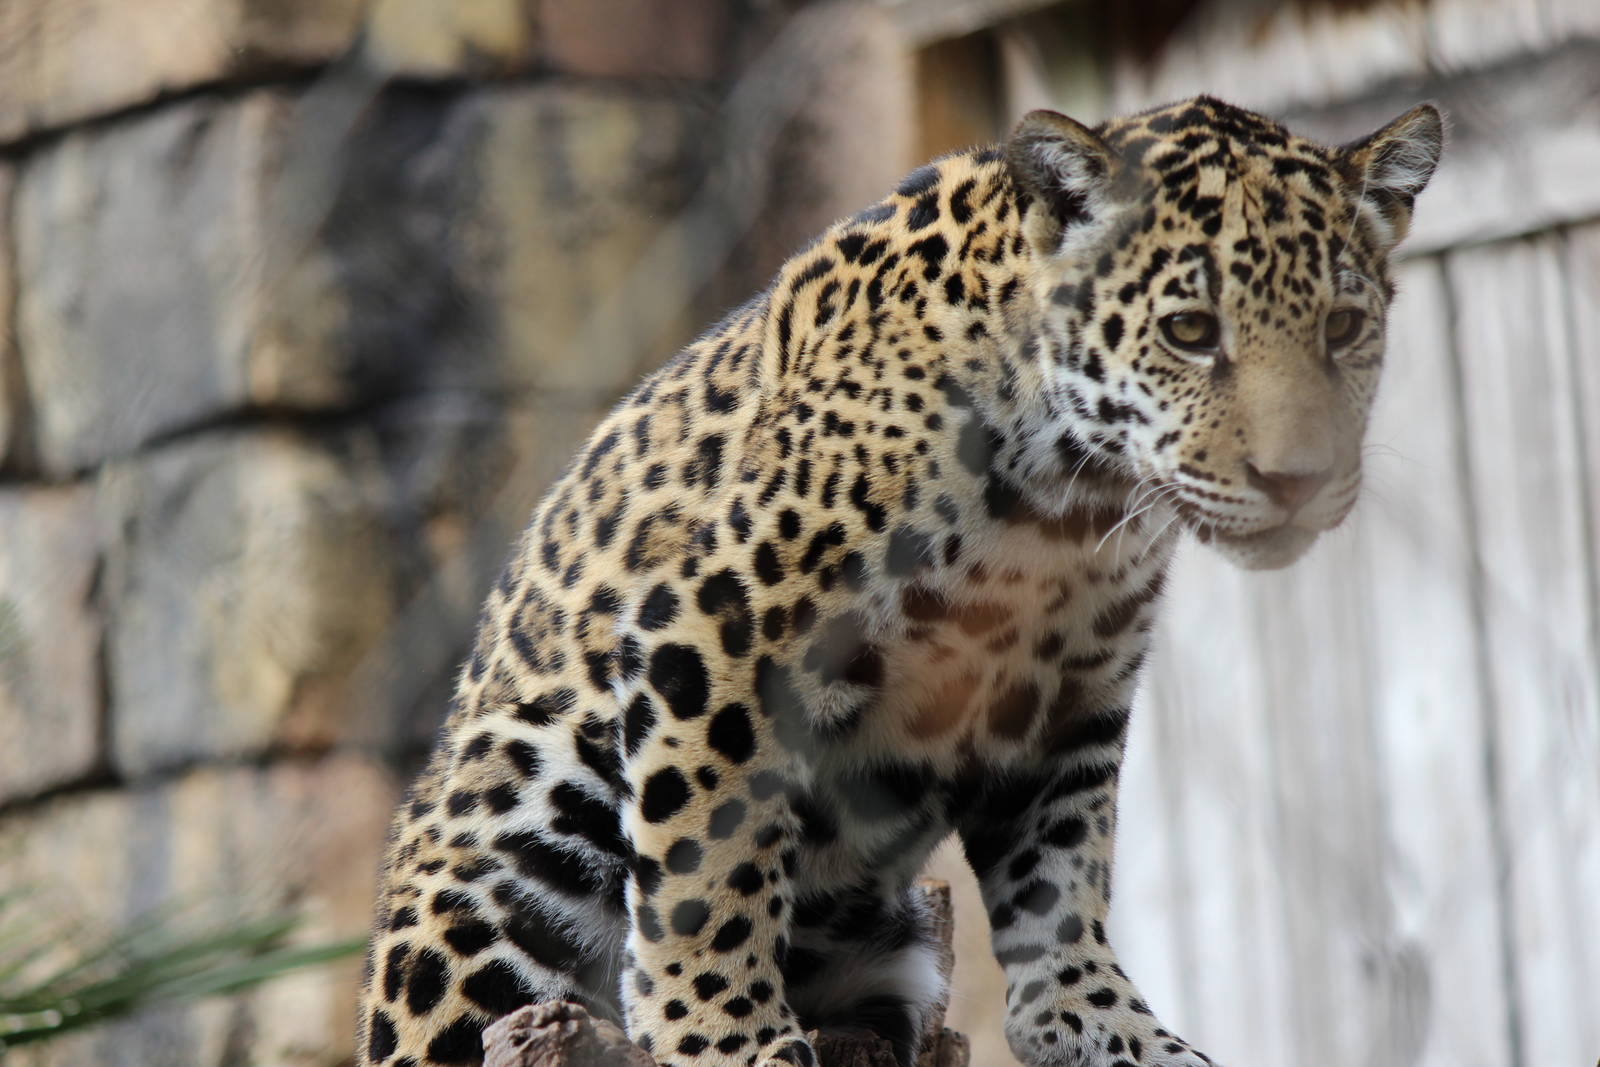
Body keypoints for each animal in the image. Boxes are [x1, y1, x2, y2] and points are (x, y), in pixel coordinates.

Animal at [357, 95, 1443, 1067]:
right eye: (1188, 329)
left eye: (1343, 326)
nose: (1298, 478)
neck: (1070, 502)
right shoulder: (711, 629)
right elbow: (706, 860)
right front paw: (722, 1037)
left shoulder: (1068, 694)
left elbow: (1062, 874)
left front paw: (1104, 1026)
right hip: (516, 821)